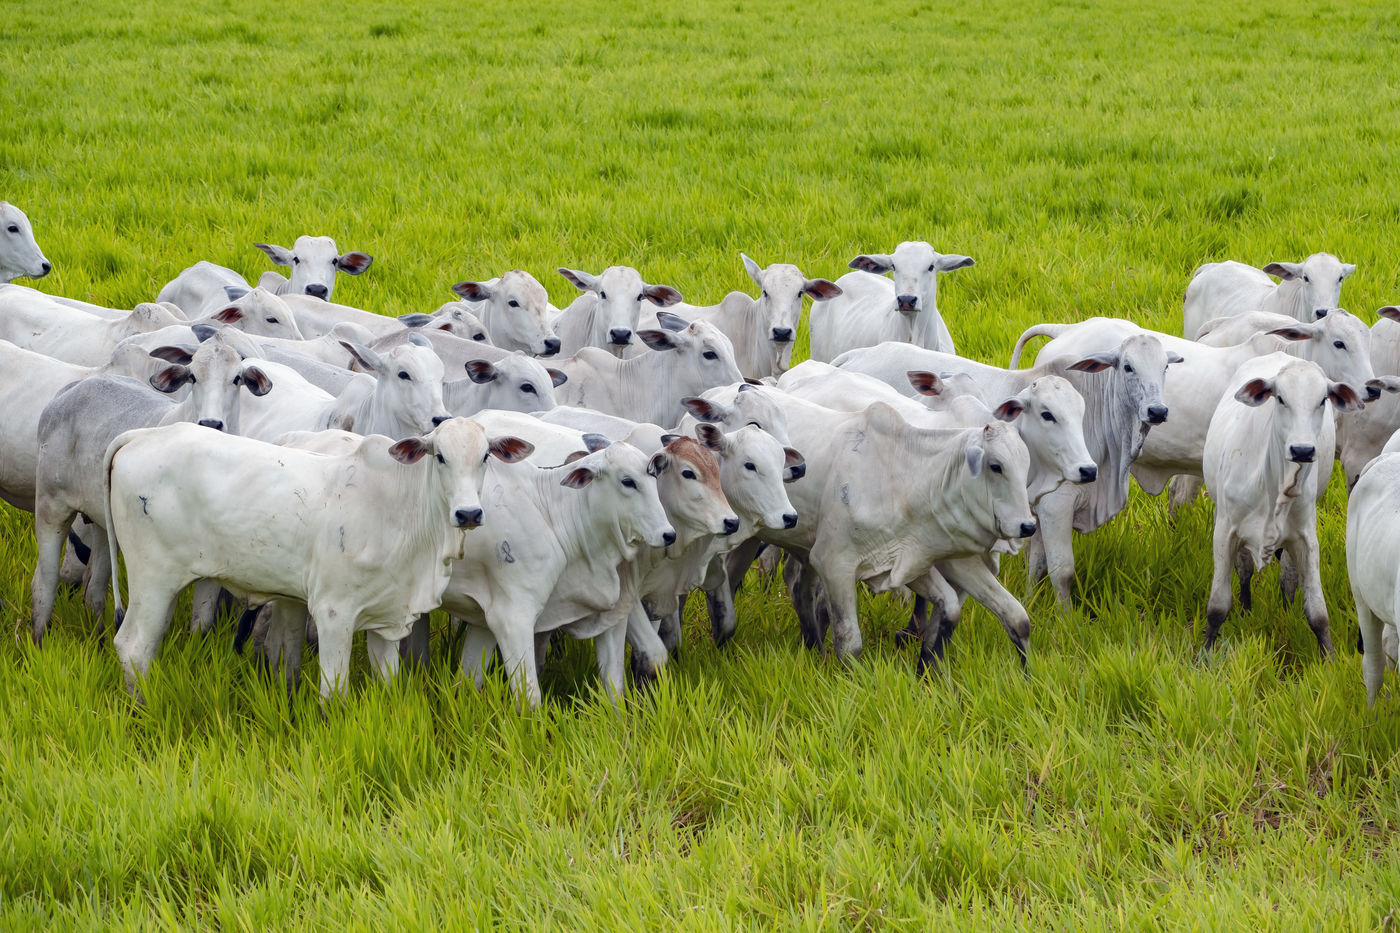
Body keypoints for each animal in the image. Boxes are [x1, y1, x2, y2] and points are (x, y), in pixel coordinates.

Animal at [29, 334, 274, 642]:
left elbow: (202, 621)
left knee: (93, 588)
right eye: (193, 376)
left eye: (236, 378)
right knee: (44, 582)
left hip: (102, 524)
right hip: (51, 507)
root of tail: (70, 390)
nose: (210, 423)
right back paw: (38, 639)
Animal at [103, 419, 530, 700]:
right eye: (439, 456)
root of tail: (142, 435)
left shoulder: (387, 616)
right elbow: (334, 694)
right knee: (134, 646)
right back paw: (143, 709)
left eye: (486, 455)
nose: (469, 513)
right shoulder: (333, 612)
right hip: (153, 578)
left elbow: (388, 687)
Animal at [1201, 354, 1362, 655]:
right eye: (1280, 398)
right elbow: (1217, 606)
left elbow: (1318, 613)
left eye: (1323, 399)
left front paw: (1330, 658)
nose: (1302, 450)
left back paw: (1286, 613)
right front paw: (1203, 655)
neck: (1274, 484)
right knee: (1245, 572)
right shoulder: (1225, 532)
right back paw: (1246, 610)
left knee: (1288, 579)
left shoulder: (1306, 539)